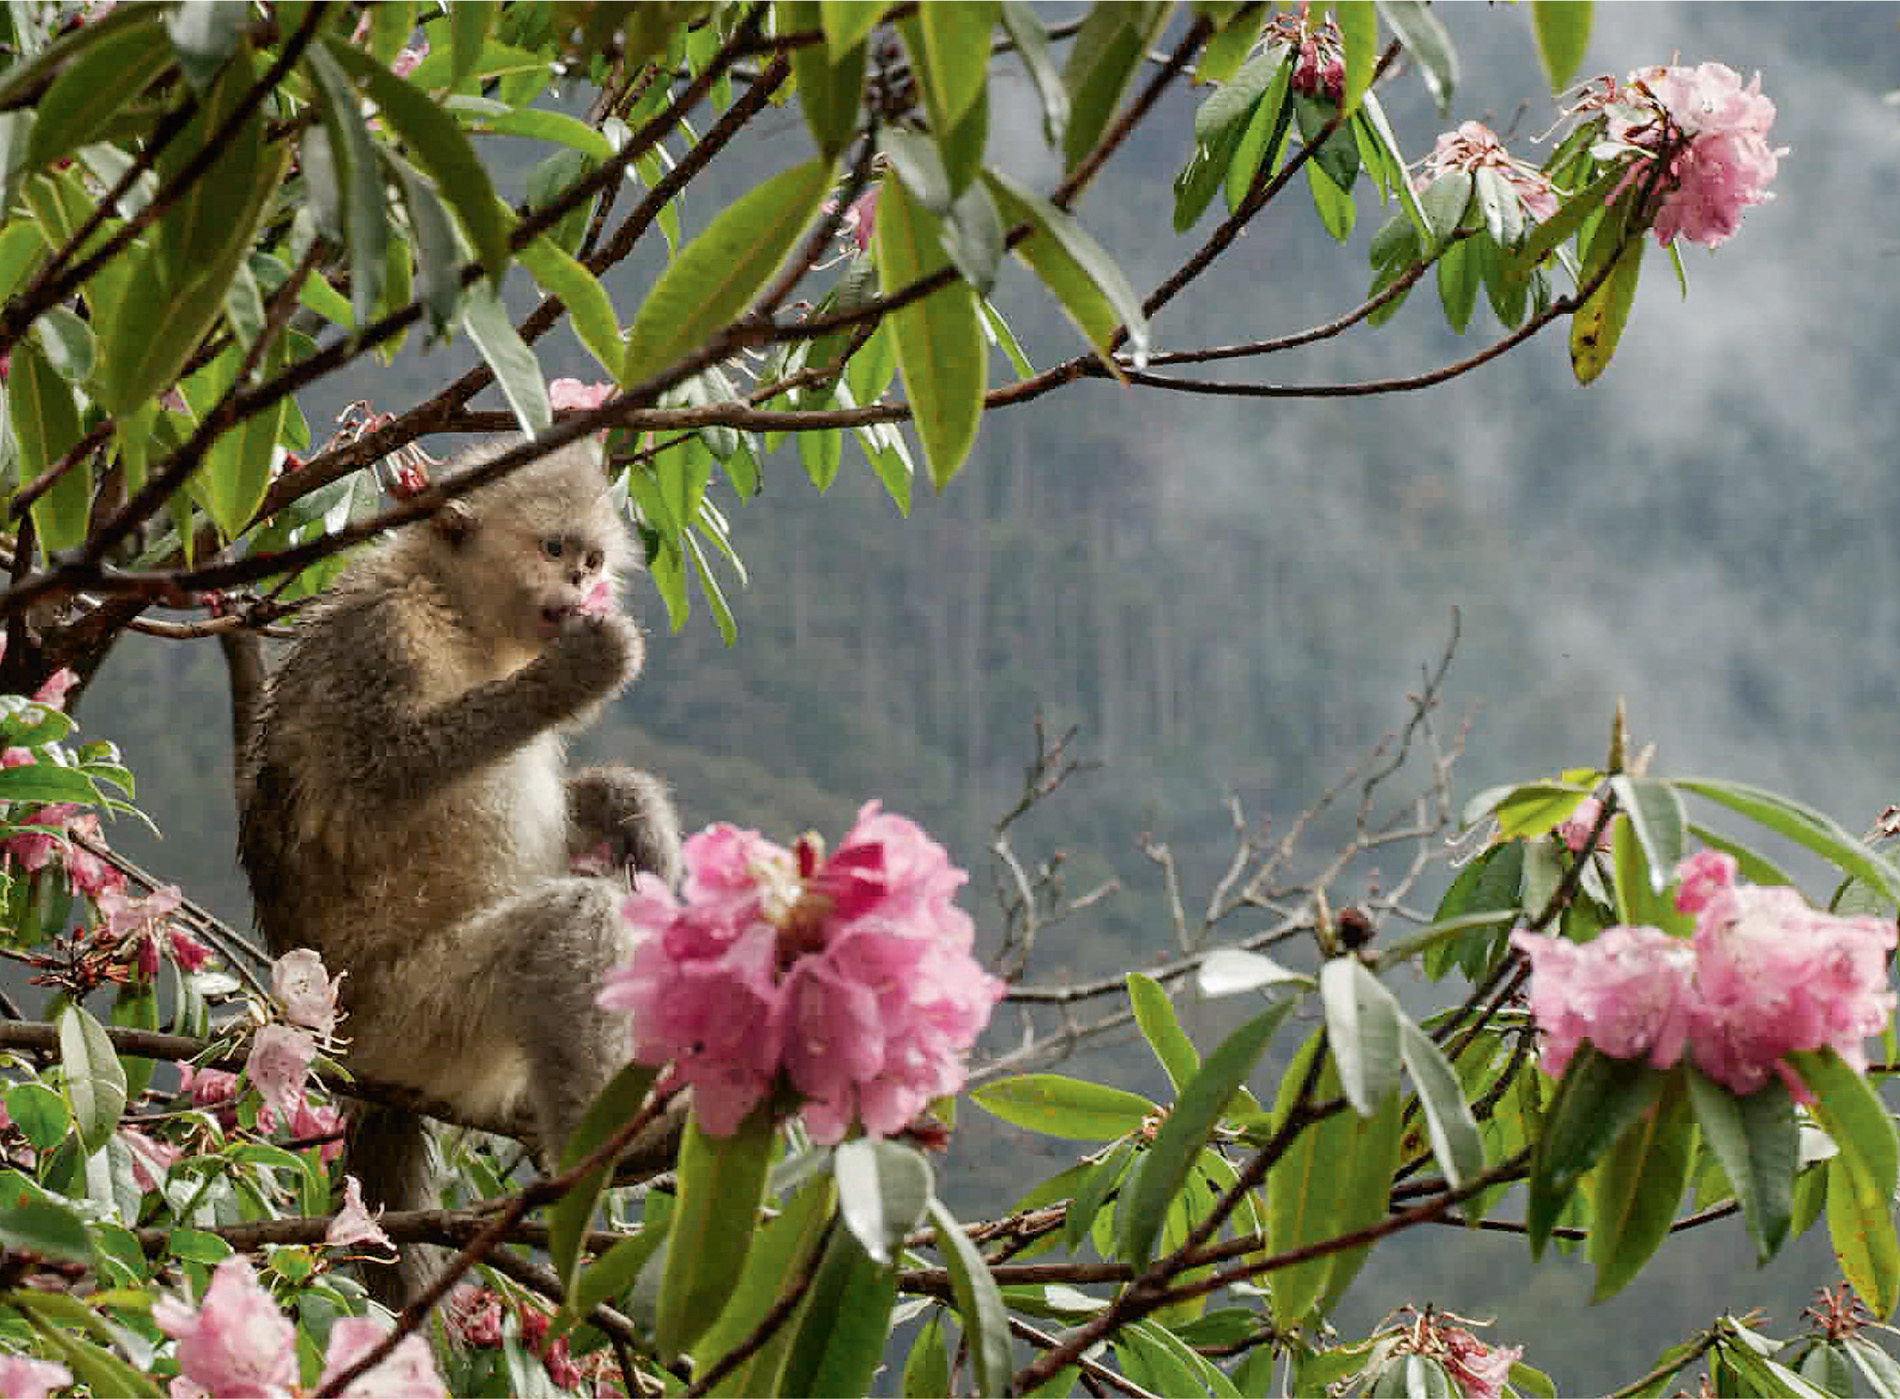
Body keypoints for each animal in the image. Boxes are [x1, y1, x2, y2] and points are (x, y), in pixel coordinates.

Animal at [236, 437, 684, 1300]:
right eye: (553, 548)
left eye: (589, 559)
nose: (578, 587)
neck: (455, 609)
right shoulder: (381, 637)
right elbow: (370, 784)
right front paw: (565, 680)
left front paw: (628, 803)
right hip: (412, 1027)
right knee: (570, 922)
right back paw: (600, 1148)